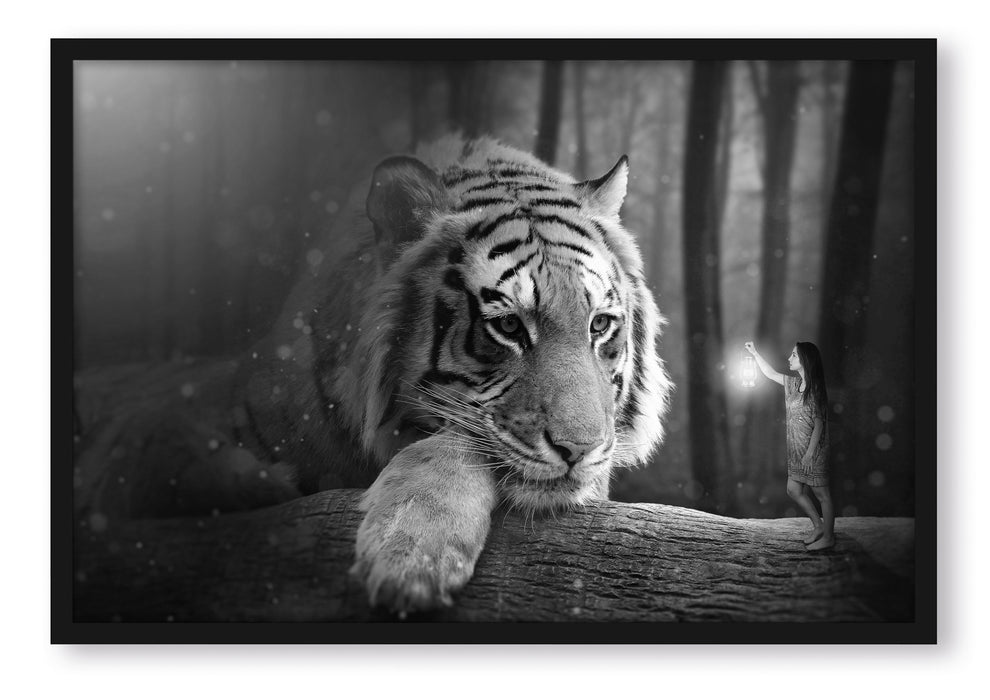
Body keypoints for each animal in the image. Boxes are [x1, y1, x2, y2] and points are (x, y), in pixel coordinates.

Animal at [73, 134, 673, 616]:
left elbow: (460, 439)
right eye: (507, 326)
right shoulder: (161, 428)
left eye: (600, 325)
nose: (581, 449)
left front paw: (411, 555)